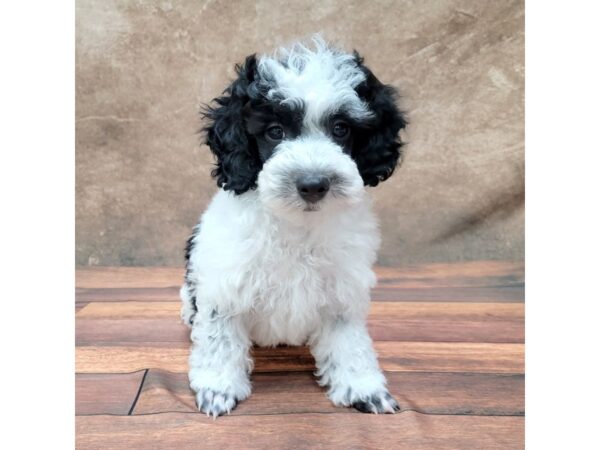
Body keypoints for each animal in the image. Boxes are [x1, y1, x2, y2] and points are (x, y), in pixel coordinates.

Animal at [182, 37, 408, 418]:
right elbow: (220, 339)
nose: (313, 184)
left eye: (341, 129)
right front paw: (218, 387)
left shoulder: (341, 290)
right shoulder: (225, 285)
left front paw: (362, 386)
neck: (296, 223)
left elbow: (350, 342)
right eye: (275, 131)